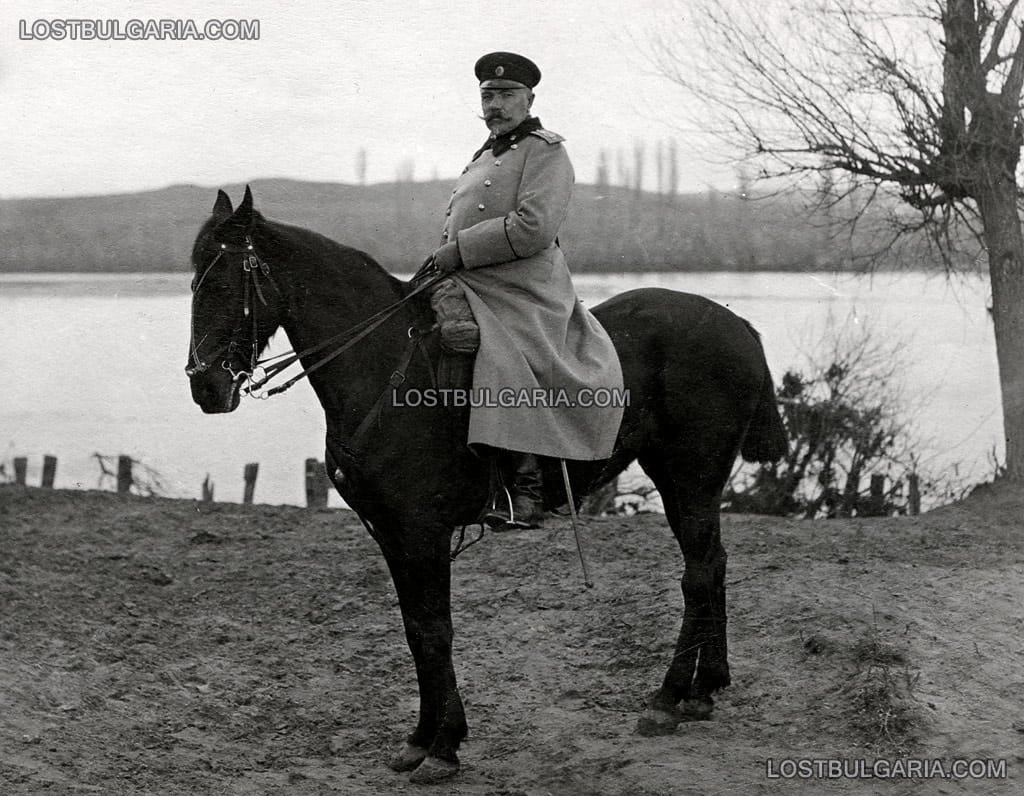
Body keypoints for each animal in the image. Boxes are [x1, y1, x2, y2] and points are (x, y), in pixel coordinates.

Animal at [188, 184, 786, 782]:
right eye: (193, 280)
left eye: (223, 282)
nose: (206, 388)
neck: (384, 369)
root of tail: (735, 323)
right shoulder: (393, 535)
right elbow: (415, 630)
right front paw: (422, 738)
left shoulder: (421, 533)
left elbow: (435, 631)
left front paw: (444, 744)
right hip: (683, 481)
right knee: (712, 566)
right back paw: (702, 689)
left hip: (691, 476)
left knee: (698, 573)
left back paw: (669, 697)